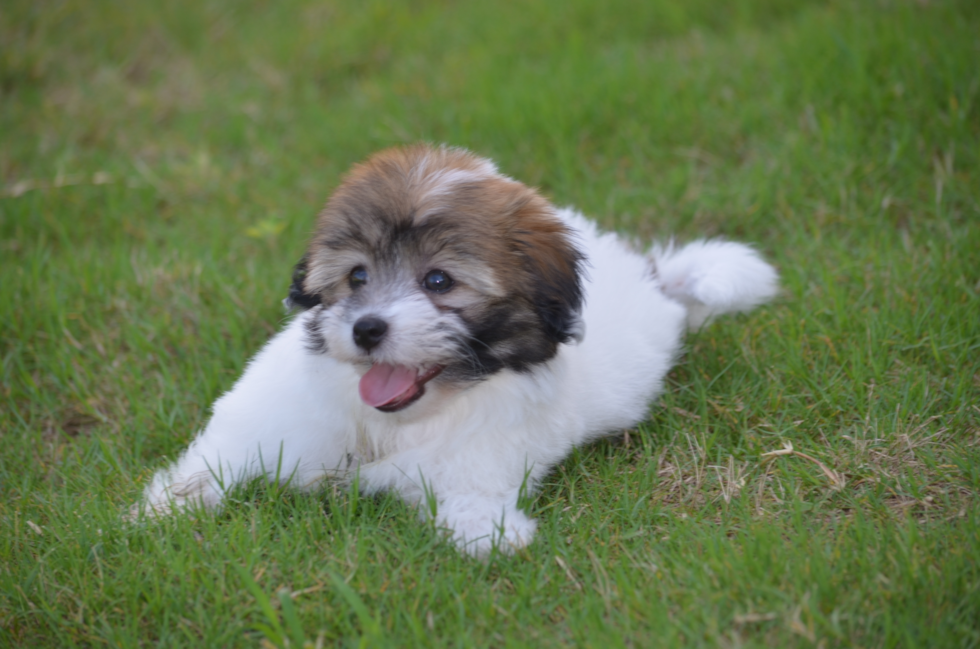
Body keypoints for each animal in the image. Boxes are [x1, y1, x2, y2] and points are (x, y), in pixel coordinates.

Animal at [138, 144, 776, 556]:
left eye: (439, 281)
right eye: (357, 276)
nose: (367, 329)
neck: (387, 425)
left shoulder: (484, 451)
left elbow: (470, 499)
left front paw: (488, 532)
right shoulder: (273, 415)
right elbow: (216, 459)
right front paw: (160, 511)